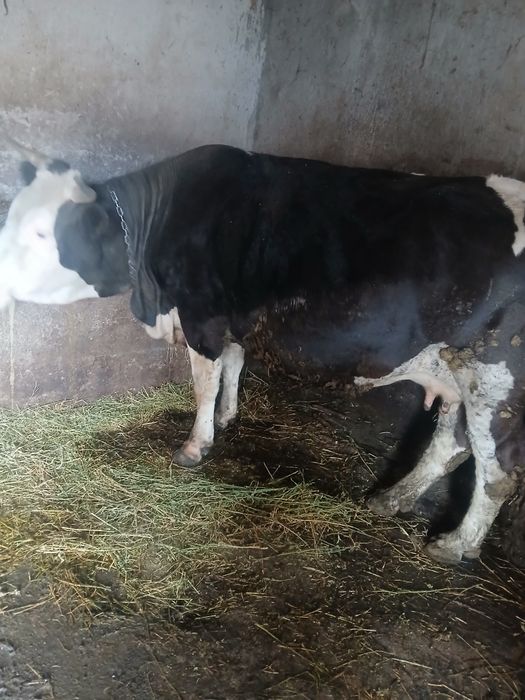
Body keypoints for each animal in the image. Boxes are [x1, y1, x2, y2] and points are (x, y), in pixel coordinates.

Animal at [0, 139, 524, 566]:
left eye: (44, 233)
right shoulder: (233, 321)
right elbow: (233, 366)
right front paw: (228, 416)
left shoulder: (203, 317)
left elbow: (204, 381)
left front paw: (195, 445)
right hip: (455, 371)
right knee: (450, 445)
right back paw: (390, 500)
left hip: (495, 378)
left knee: (496, 471)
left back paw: (454, 545)